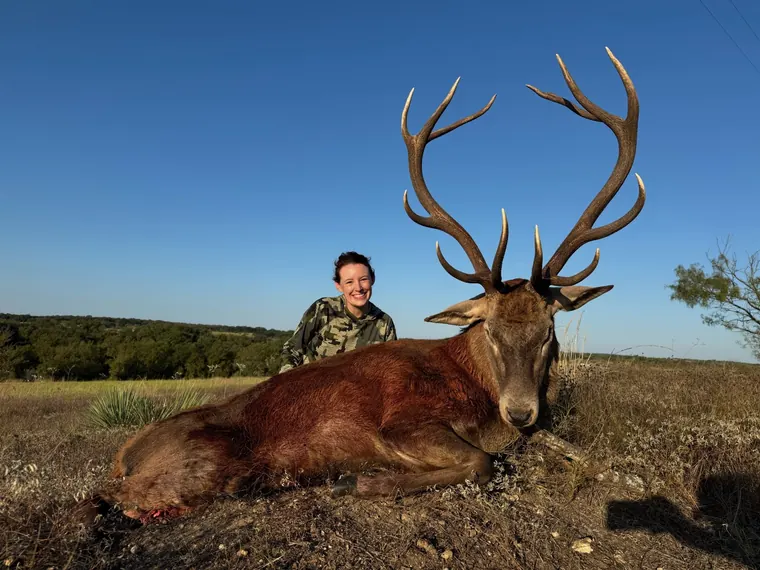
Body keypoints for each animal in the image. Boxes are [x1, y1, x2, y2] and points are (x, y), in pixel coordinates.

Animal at [75, 47, 644, 525]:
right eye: (490, 331)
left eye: (549, 331)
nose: (521, 410)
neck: (479, 393)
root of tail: (124, 456)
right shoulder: (403, 423)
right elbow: (482, 462)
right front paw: (357, 481)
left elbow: (571, 448)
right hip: (203, 468)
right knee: (102, 498)